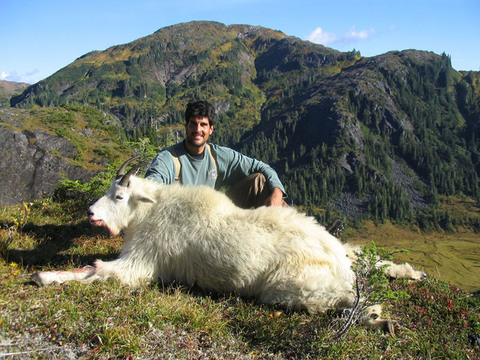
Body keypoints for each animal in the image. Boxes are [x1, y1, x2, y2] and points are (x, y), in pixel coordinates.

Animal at [32, 159, 424, 330]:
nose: (90, 212)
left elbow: (98, 270)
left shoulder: (140, 262)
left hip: (290, 285)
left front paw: (44, 276)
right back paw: (409, 279)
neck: (150, 212)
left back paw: (378, 319)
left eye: (119, 195)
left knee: (347, 299)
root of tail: (337, 259)